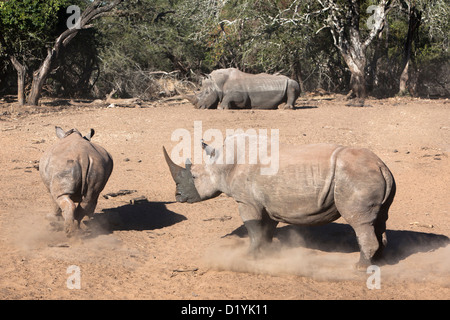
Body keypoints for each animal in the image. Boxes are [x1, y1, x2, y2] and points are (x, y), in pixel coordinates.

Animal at [163, 134, 396, 268]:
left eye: (194, 176)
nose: (178, 196)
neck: (222, 162)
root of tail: (381, 166)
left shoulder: (246, 201)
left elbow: (253, 227)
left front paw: (248, 256)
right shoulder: (269, 203)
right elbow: (265, 229)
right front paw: (266, 253)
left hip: (357, 177)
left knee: (360, 222)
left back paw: (360, 268)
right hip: (373, 175)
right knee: (379, 220)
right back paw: (379, 262)